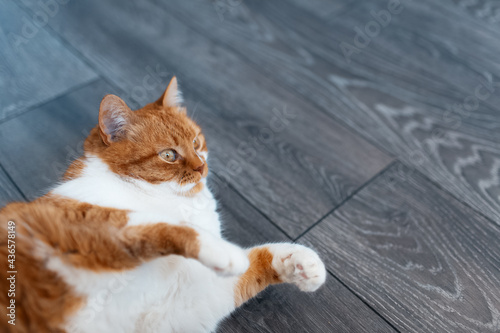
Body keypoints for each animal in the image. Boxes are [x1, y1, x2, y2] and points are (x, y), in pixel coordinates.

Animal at [0, 76, 326, 330]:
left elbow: (260, 259)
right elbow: (162, 226)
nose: (201, 168)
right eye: (169, 155)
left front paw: (302, 263)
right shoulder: (77, 223)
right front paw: (226, 251)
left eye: (196, 143)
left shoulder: (187, 303)